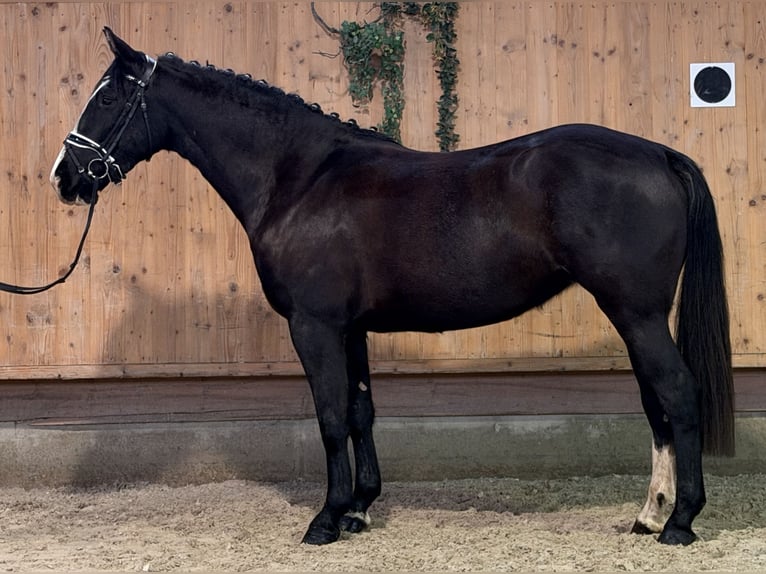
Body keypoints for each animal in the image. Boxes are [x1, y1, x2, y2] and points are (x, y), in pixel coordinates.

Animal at [51, 28, 734, 546]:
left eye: (107, 99)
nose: (65, 176)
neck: (300, 178)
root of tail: (659, 154)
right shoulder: (350, 329)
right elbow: (360, 411)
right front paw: (359, 507)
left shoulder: (315, 325)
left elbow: (329, 416)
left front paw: (325, 519)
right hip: (637, 315)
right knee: (655, 403)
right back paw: (649, 514)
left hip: (636, 312)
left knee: (677, 394)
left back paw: (680, 522)